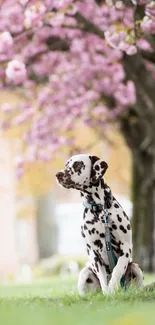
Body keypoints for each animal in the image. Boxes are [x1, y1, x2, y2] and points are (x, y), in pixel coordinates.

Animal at [55, 154, 143, 294]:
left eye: (78, 164)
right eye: (66, 165)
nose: (58, 174)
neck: (100, 210)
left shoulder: (126, 247)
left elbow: (118, 269)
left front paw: (113, 288)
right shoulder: (93, 253)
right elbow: (103, 278)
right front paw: (108, 293)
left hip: (136, 268)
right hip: (84, 273)